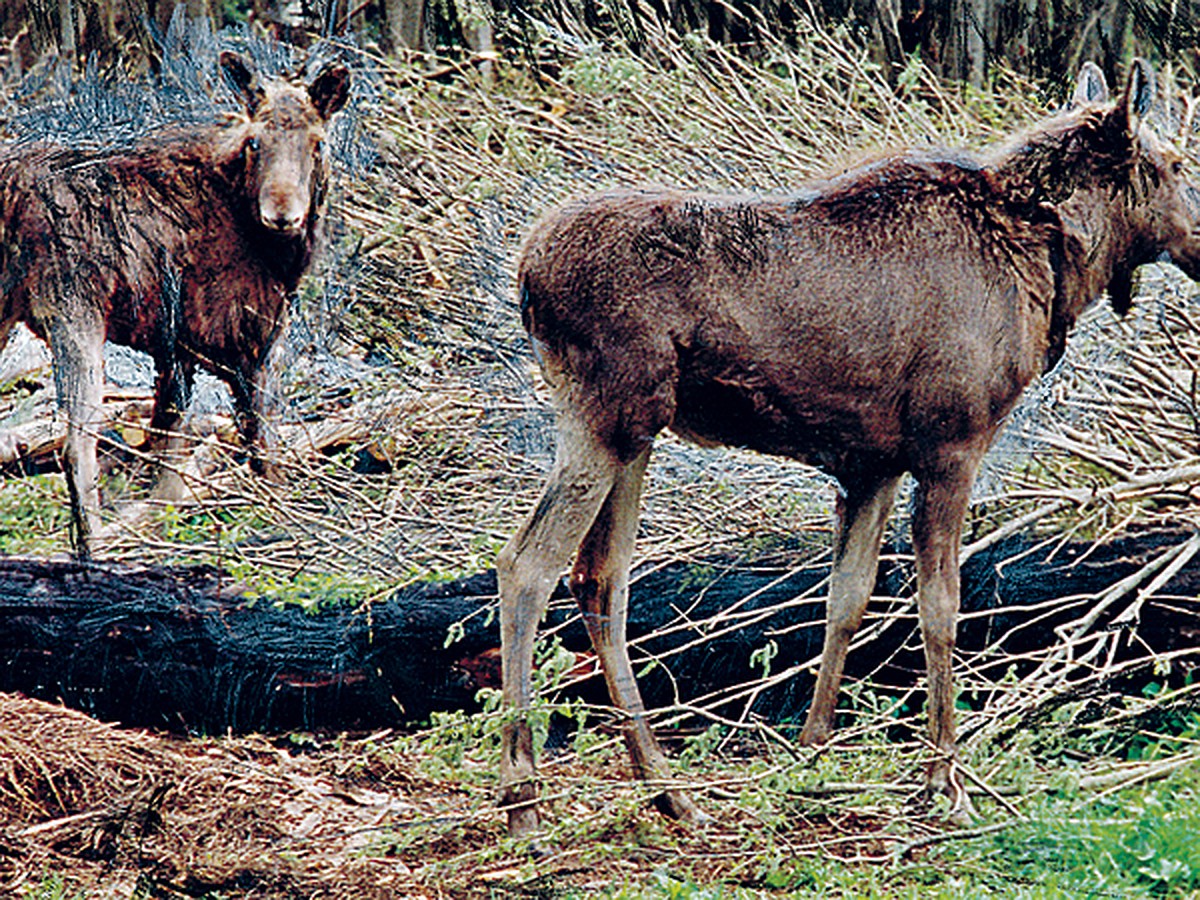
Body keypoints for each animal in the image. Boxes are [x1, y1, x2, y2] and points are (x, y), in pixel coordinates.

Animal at [0, 51, 350, 556]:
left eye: (317, 144)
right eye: (255, 142)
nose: (282, 214)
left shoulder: (176, 347)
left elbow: (166, 463)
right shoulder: (247, 340)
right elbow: (262, 448)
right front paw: (284, 525)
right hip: (75, 312)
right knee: (75, 443)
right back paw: (94, 546)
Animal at [494, 60, 1200, 844]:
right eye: (1173, 165)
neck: (1050, 263)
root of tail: (524, 272)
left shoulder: (873, 464)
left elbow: (849, 598)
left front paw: (811, 756)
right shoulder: (951, 444)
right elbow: (940, 606)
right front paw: (944, 782)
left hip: (637, 431)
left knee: (600, 579)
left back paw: (669, 792)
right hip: (603, 414)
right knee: (527, 564)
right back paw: (523, 796)